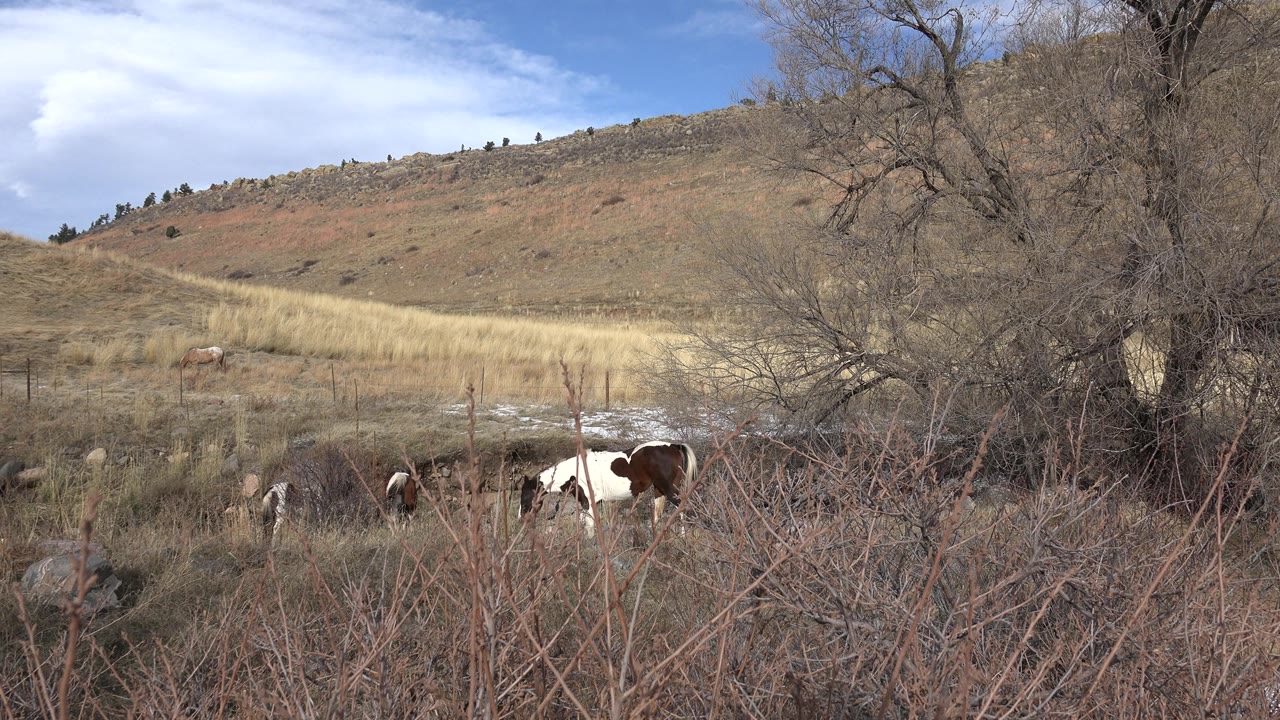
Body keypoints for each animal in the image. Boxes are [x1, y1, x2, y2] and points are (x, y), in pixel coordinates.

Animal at [519, 441, 697, 536]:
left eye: (525, 496)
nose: (522, 519)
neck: (576, 472)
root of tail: (673, 446)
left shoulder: (588, 502)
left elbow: (589, 525)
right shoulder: (594, 503)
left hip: (671, 491)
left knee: (684, 509)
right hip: (659, 491)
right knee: (658, 515)